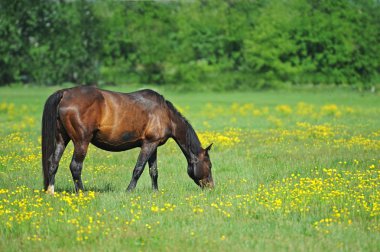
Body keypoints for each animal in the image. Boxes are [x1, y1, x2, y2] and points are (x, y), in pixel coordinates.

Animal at [42, 85, 214, 194]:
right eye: (209, 165)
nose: (211, 187)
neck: (165, 114)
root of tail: (65, 93)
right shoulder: (148, 145)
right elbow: (138, 169)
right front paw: (129, 190)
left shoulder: (153, 145)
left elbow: (153, 171)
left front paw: (155, 192)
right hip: (81, 142)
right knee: (75, 166)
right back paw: (82, 192)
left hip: (61, 139)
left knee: (53, 163)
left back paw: (50, 191)